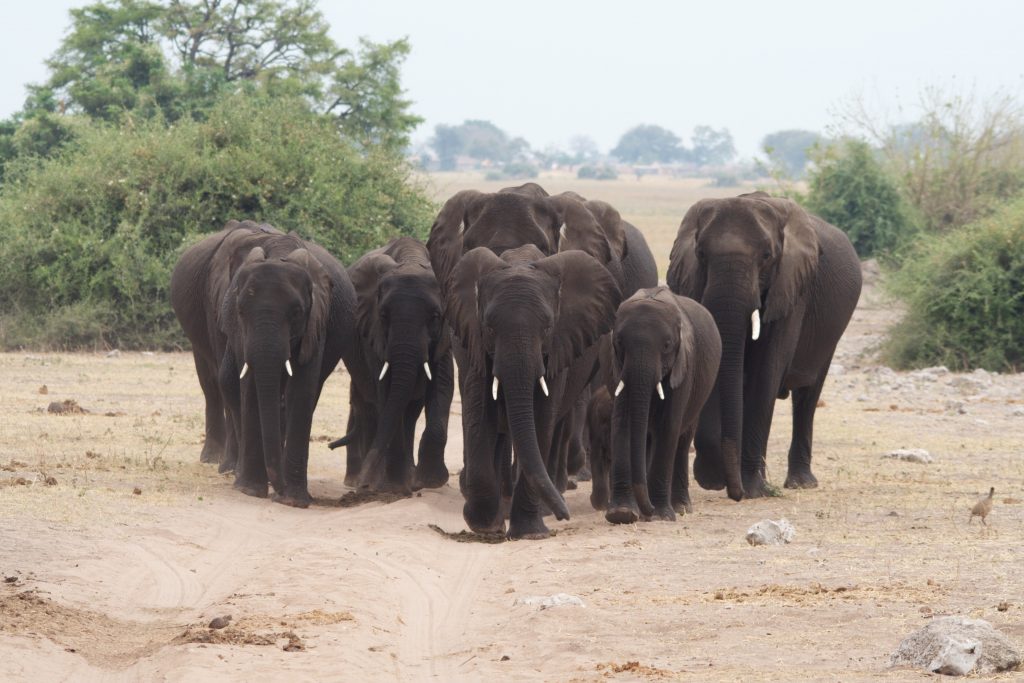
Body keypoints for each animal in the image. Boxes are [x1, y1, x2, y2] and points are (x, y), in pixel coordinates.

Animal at [169, 222, 358, 505]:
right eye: (240, 311)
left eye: (297, 313)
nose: (278, 489)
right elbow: (247, 385)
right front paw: (249, 490)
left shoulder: (317, 322)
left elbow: (300, 390)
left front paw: (292, 500)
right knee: (213, 383)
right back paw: (224, 464)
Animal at [337, 237, 454, 493]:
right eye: (383, 315)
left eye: (435, 316)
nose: (363, 486)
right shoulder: (372, 333)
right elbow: (387, 391)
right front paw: (393, 487)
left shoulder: (445, 336)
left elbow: (442, 384)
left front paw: (428, 482)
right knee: (371, 408)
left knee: (409, 411)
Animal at [444, 245, 618, 540]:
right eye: (489, 328)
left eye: (547, 328)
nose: (564, 515)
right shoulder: (477, 345)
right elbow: (480, 413)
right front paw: (486, 525)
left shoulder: (559, 349)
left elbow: (540, 419)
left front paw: (530, 533)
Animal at [598, 284, 720, 524]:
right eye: (619, 343)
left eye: (666, 345)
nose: (649, 509)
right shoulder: (618, 368)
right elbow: (621, 422)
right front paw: (622, 514)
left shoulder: (684, 366)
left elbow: (668, 425)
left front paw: (661, 516)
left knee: (682, 440)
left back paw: (680, 507)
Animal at [667, 189, 860, 499]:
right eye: (701, 254)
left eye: (767, 256)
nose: (732, 489)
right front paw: (714, 479)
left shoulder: (791, 290)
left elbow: (765, 374)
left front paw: (752, 489)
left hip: (830, 334)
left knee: (807, 395)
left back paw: (800, 482)